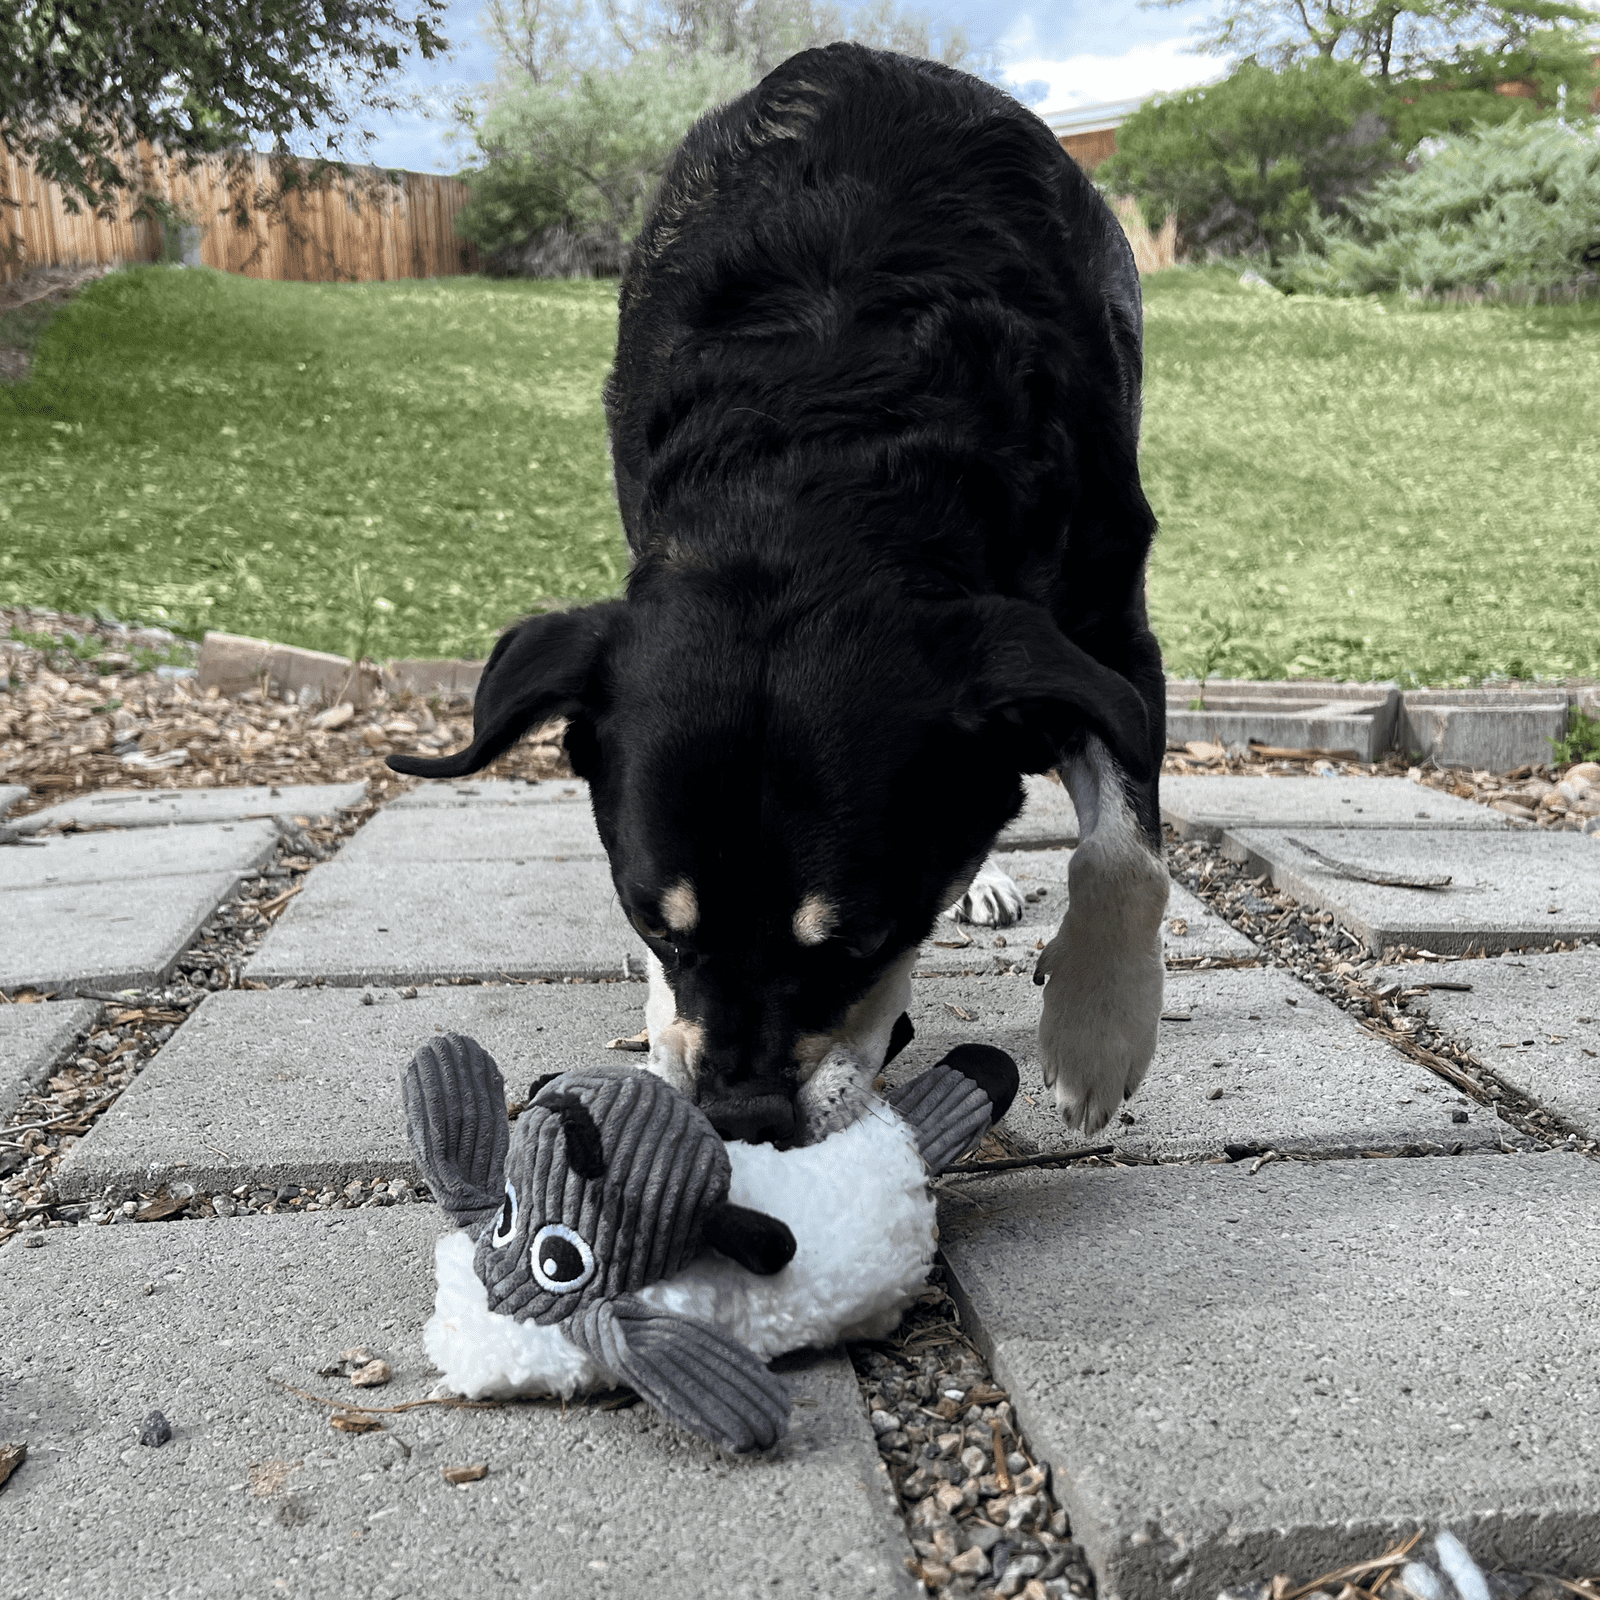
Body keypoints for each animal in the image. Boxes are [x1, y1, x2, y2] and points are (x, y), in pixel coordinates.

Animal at [387, 46, 1164, 1152]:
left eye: (865, 938)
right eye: (648, 917)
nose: (741, 1115)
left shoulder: (1106, 630)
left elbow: (1126, 850)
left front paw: (1098, 1030)